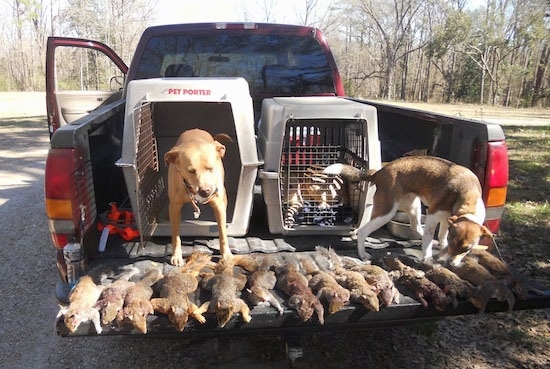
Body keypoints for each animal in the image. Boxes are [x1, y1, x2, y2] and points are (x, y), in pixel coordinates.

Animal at [164, 128, 233, 264]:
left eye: (211, 168)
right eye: (191, 171)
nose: (206, 190)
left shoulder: (219, 206)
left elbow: (223, 232)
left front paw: (226, 254)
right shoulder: (174, 207)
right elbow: (175, 235)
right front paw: (176, 255)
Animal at [326, 155, 494, 264]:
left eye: (467, 249)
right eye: (454, 243)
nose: (451, 264)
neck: (468, 195)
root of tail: (380, 172)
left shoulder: (447, 219)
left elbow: (441, 236)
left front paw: (441, 249)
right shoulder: (433, 215)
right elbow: (430, 238)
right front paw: (428, 257)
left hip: (414, 207)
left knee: (416, 228)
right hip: (387, 211)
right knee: (362, 231)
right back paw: (362, 254)